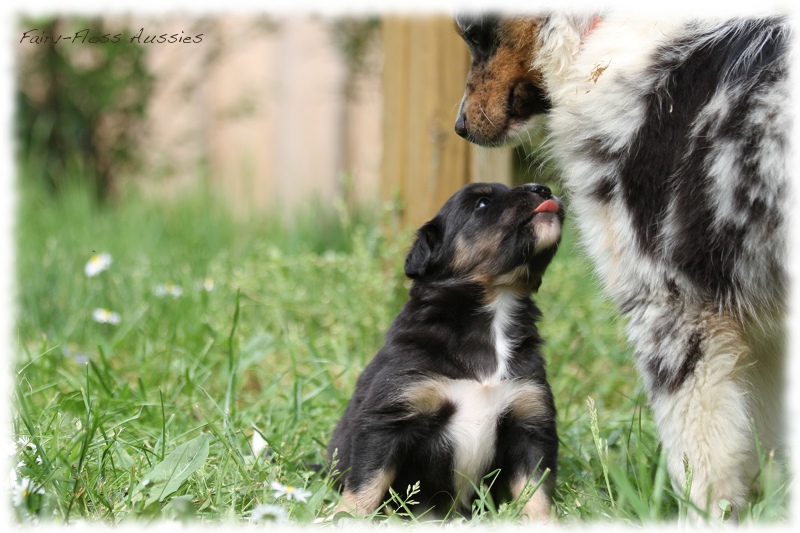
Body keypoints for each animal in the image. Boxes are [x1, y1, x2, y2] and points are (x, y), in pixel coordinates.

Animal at [326, 181, 564, 516]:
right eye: (481, 203)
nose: (542, 188)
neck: (492, 314)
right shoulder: (387, 419)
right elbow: (366, 482)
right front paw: (346, 517)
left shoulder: (529, 421)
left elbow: (536, 492)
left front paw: (544, 521)